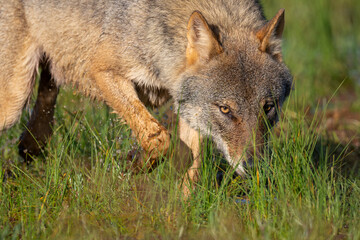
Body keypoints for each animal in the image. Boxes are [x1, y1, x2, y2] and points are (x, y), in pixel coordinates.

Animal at [0, 0, 292, 195]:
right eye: (225, 109)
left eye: (267, 107)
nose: (254, 167)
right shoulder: (102, 71)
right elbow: (159, 138)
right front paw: (133, 168)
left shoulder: (186, 103)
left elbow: (192, 163)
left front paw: (179, 211)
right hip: (15, 98)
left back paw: (31, 146)